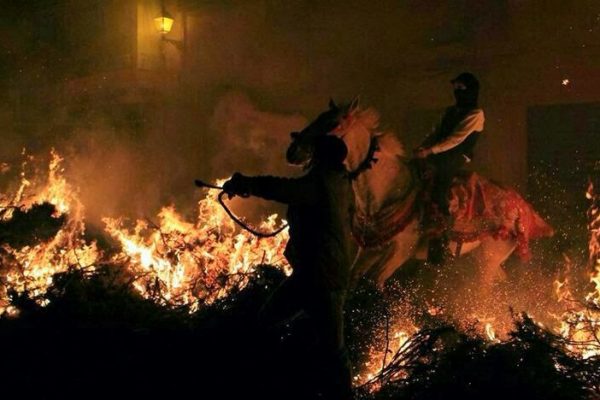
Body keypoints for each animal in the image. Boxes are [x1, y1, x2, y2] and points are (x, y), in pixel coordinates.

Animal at [286, 98, 552, 290]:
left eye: (333, 124)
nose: (293, 151)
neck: (386, 192)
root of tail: (522, 208)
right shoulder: (370, 250)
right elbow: (354, 280)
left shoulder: (401, 251)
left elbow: (374, 282)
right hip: (486, 259)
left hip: (488, 259)